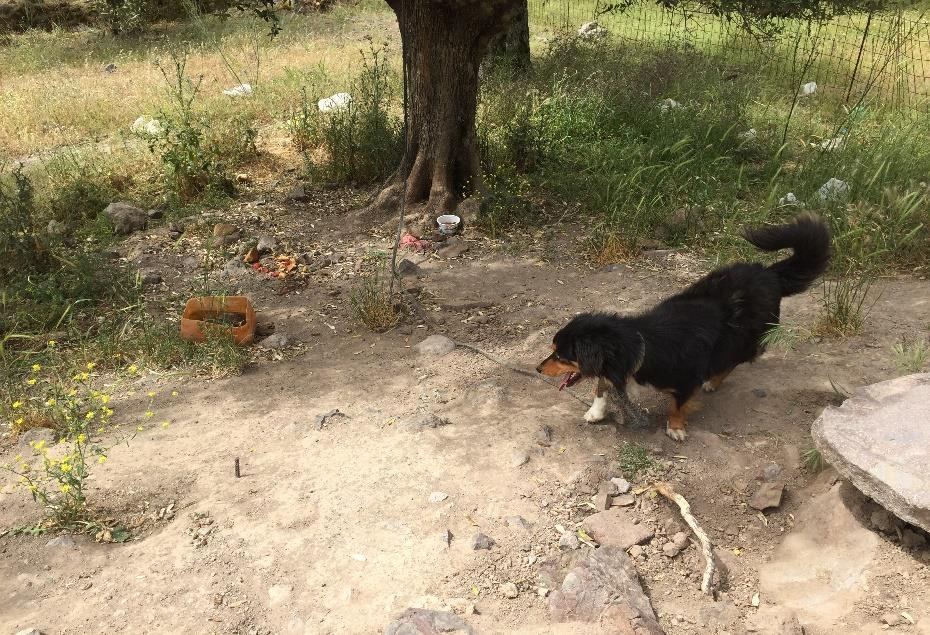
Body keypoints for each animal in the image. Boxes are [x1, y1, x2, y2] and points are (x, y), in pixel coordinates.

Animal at [532, 215, 832, 442]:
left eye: (560, 355)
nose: (537, 369)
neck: (641, 344)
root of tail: (770, 274)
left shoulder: (687, 378)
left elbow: (676, 405)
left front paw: (675, 427)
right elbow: (601, 388)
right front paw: (596, 412)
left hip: (743, 340)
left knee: (733, 361)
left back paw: (713, 381)